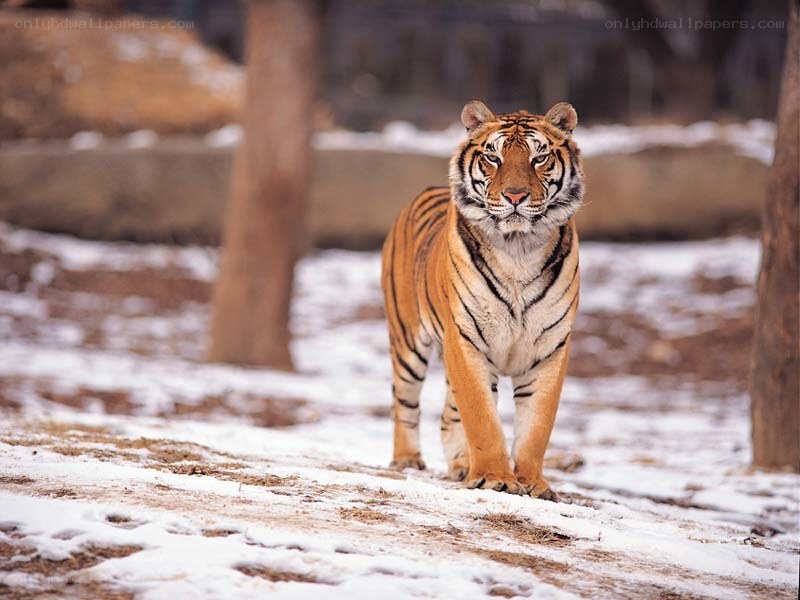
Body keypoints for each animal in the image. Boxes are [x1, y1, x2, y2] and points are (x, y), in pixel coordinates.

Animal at [381, 100, 584, 499]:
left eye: (539, 158)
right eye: (494, 156)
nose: (516, 196)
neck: (519, 248)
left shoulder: (550, 348)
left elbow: (537, 425)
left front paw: (533, 484)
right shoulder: (465, 340)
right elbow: (482, 418)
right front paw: (494, 478)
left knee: (447, 416)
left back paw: (461, 466)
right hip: (407, 341)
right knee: (405, 402)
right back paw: (407, 459)